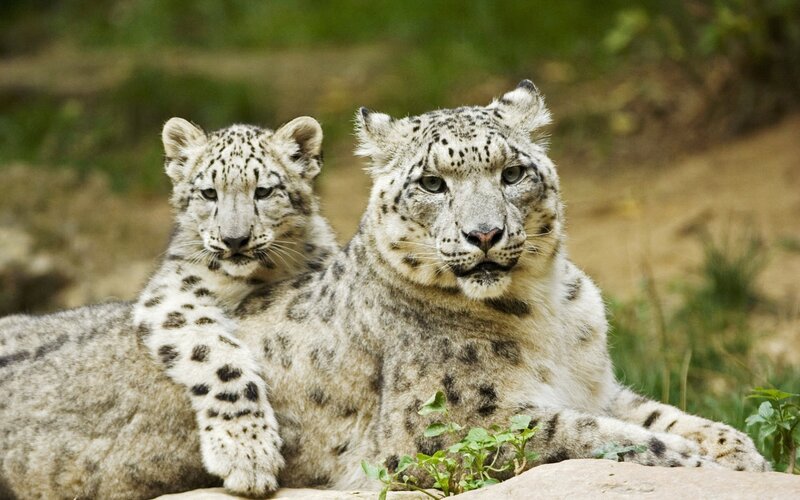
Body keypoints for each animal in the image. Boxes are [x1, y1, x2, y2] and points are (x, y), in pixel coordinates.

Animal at [0, 81, 768, 500]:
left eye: (513, 171)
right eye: (432, 182)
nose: (486, 234)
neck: (547, 311)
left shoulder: (597, 384)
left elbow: (661, 414)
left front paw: (741, 454)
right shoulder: (453, 430)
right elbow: (584, 434)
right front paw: (692, 462)